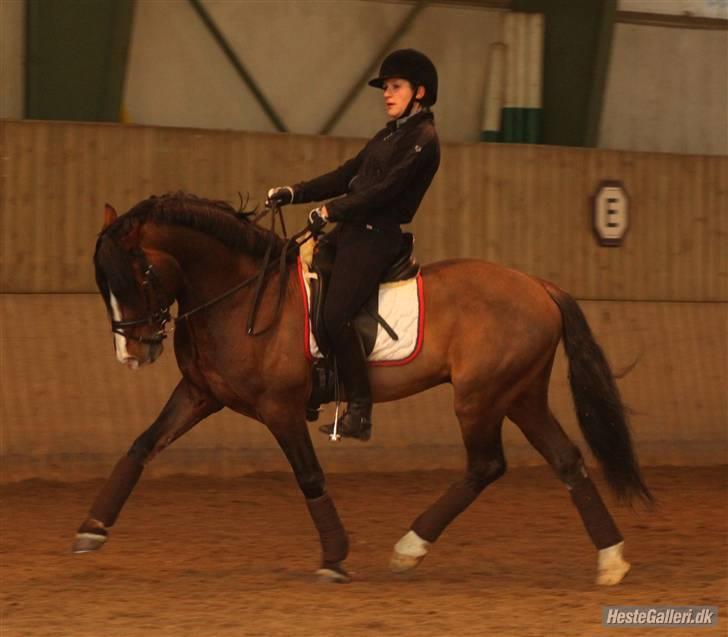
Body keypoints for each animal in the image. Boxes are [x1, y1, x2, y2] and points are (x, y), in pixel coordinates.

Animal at [75, 191, 656, 584]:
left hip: (481, 397)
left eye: (140, 274)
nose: (133, 353)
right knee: (565, 460)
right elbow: (143, 445)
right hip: (520, 395)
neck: (238, 295)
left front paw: (334, 557)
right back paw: (611, 559)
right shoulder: (201, 394)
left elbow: (309, 476)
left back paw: (410, 547)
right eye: (104, 283)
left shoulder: (279, 407)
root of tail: (539, 285)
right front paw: (92, 528)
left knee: (486, 465)